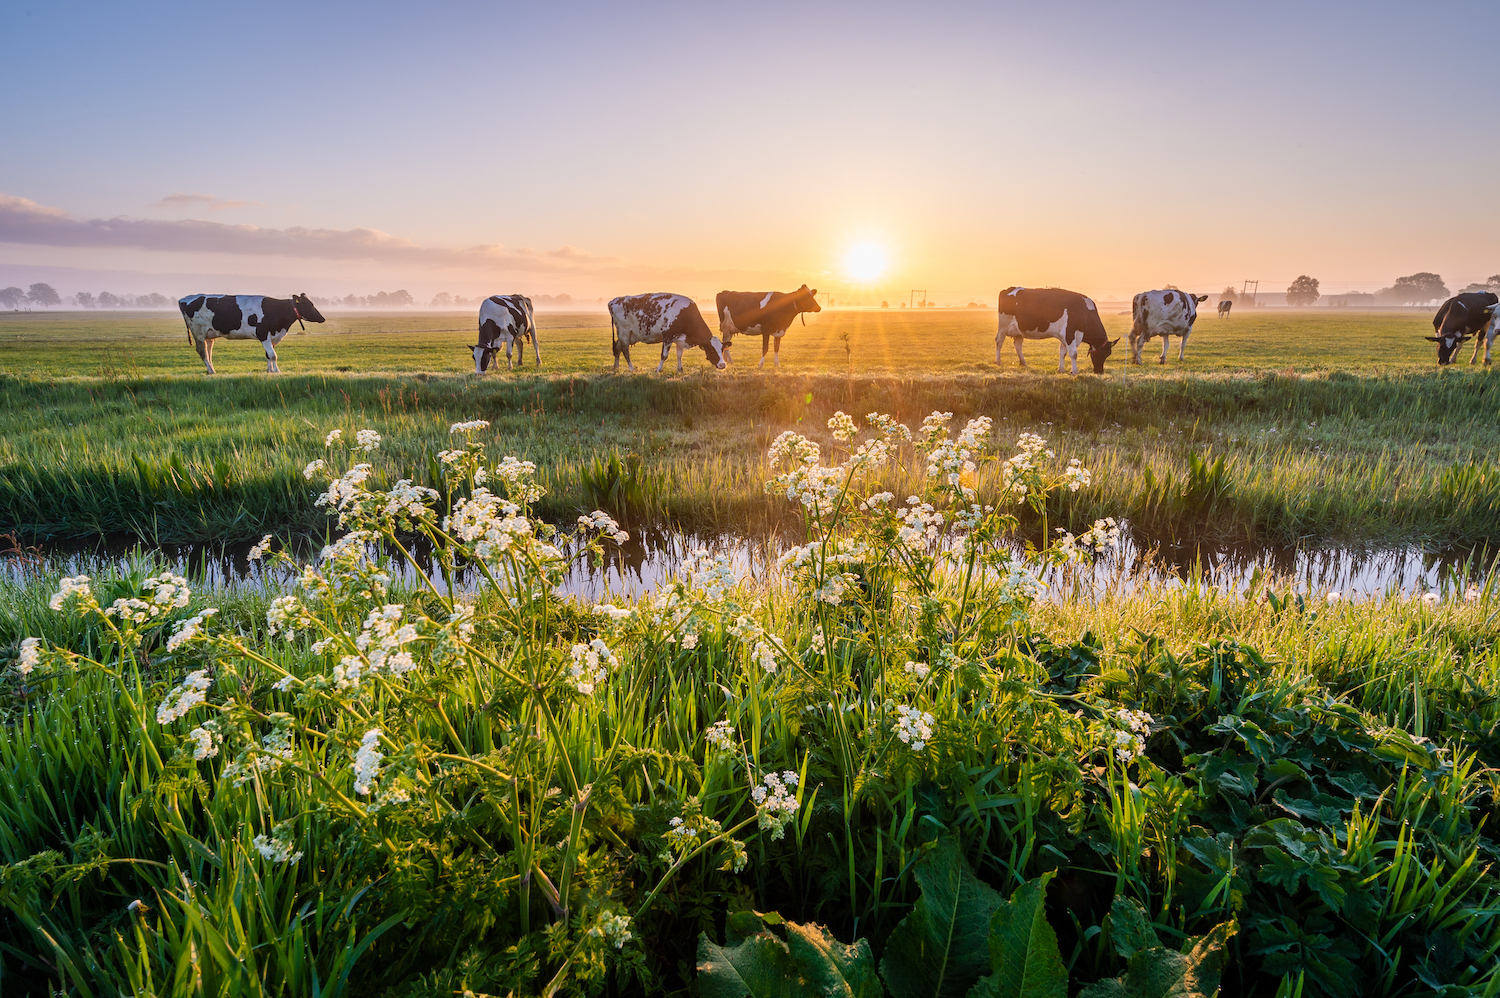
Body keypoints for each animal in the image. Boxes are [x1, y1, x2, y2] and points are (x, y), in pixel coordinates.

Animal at [178, 295, 325, 378]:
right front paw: (277, 371)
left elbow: (268, 354)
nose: (322, 318)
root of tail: (183, 299)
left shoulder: (271, 336)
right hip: (198, 332)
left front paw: (269, 370)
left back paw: (212, 370)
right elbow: (273, 355)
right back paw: (211, 371)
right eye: (309, 305)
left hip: (209, 335)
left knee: (208, 352)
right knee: (202, 352)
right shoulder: (263, 333)